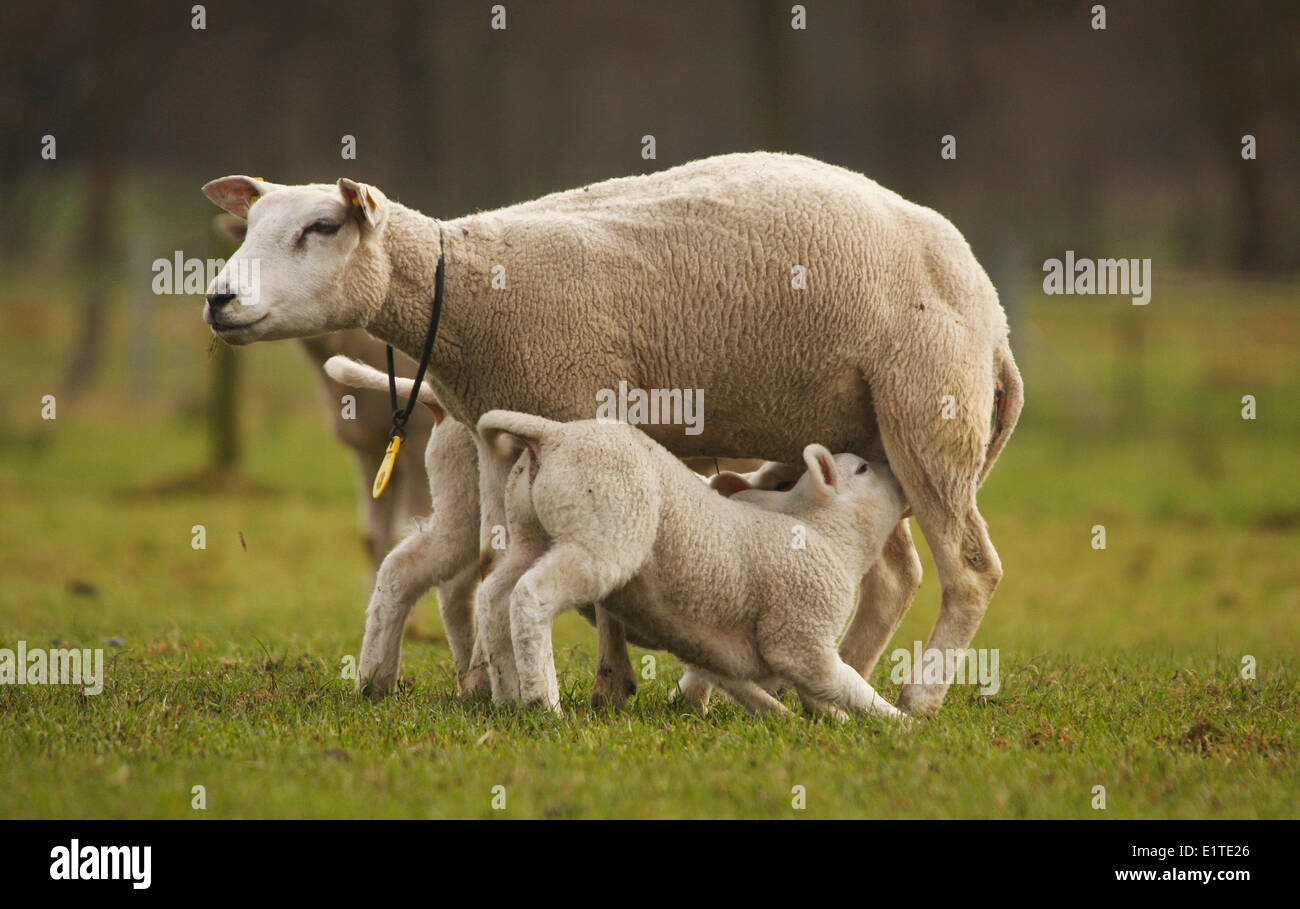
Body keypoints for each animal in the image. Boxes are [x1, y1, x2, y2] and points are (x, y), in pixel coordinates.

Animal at [480, 410, 915, 717]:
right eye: (861, 468)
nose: (900, 475)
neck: (826, 533)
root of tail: (552, 434)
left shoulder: (712, 645)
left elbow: (756, 685)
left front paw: (793, 718)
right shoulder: (799, 634)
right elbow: (848, 685)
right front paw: (901, 726)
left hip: (531, 530)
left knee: (493, 596)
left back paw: (506, 696)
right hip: (602, 533)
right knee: (532, 594)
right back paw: (543, 703)